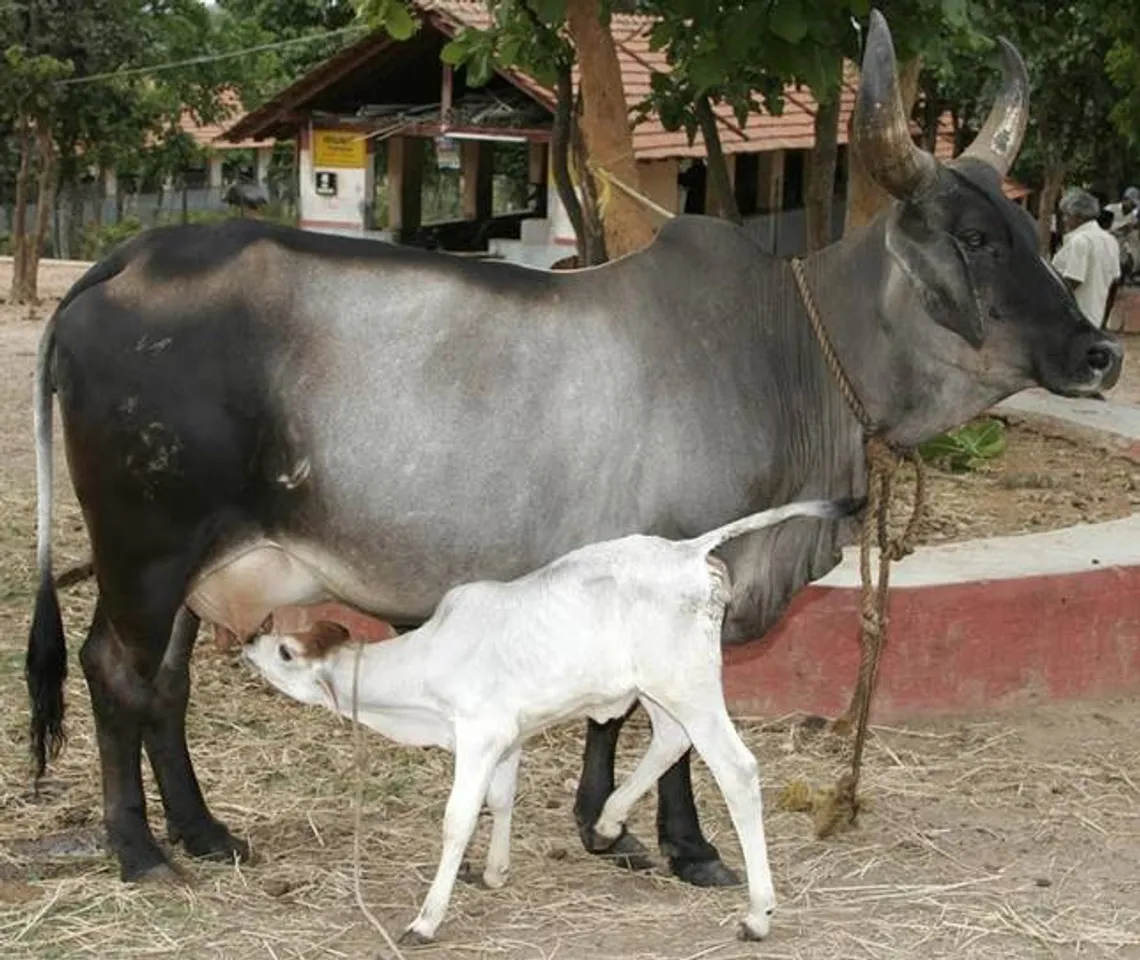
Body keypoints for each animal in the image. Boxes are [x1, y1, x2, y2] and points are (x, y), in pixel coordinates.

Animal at [26, 11, 1121, 884]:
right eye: (973, 237)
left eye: (1027, 224)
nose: (1100, 353)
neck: (795, 352)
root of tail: (119, 264)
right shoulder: (690, 579)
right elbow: (666, 727)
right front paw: (688, 846)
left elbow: (612, 711)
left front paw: (606, 826)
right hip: (146, 548)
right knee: (114, 673)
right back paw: (141, 853)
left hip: (198, 565)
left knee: (165, 686)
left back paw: (207, 834)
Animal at [247, 497, 857, 939]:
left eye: (286, 653)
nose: (252, 637)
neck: (423, 669)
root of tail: (686, 552)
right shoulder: (508, 737)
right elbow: (501, 799)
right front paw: (495, 872)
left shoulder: (480, 733)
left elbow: (457, 820)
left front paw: (425, 920)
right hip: (662, 688)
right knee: (669, 740)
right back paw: (608, 823)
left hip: (690, 685)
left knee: (736, 770)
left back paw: (757, 914)